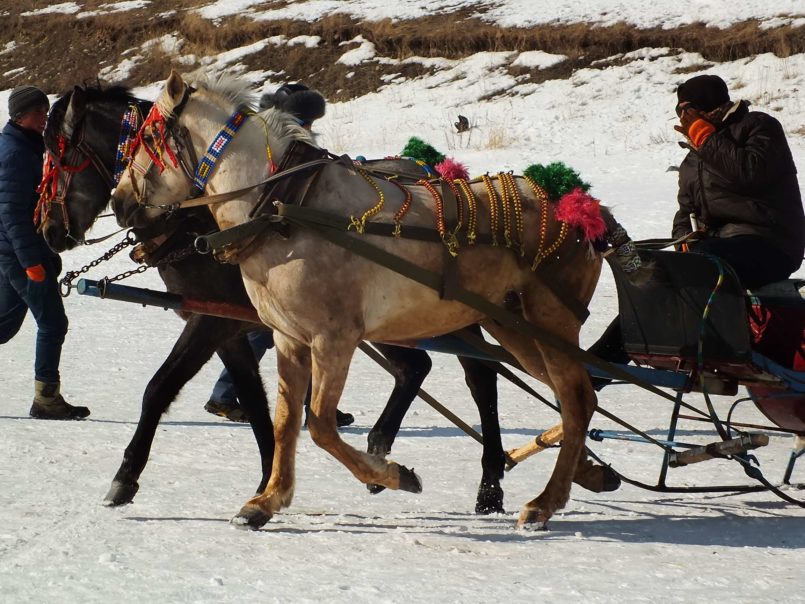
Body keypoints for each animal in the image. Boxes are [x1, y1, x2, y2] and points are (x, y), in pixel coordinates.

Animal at [111, 72, 628, 528]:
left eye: (146, 138)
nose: (119, 203)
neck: (281, 209)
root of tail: (587, 212)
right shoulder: (288, 337)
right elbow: (283, 422)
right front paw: (266, 500)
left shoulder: (334, 338)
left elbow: (319, 425)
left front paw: (395, 475)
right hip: (514, 326)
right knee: (575, 395)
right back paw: (582, 472)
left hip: (548, 320)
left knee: (574, 395)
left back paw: (543, 502)